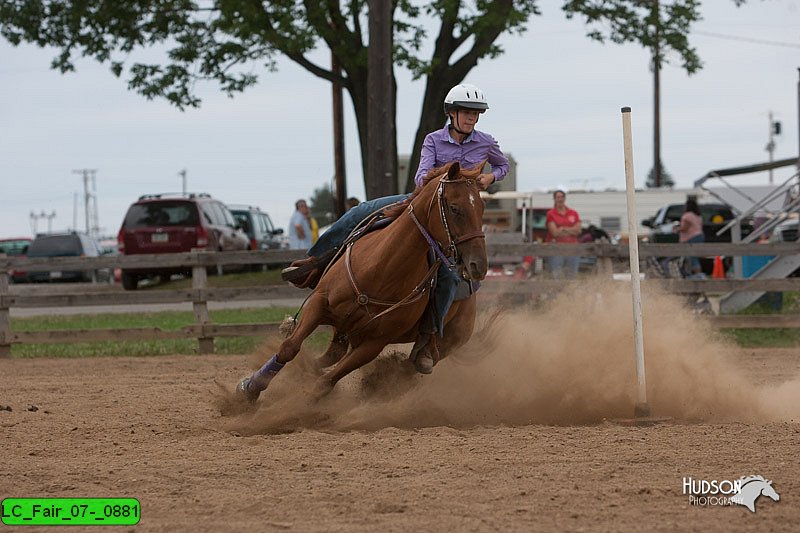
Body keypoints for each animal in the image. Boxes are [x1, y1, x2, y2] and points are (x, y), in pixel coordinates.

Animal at [234, 162, 488, 404]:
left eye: (482, 208)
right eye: (454, 208)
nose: (479, 265)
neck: (380, 271)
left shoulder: (374, 343)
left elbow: (326, 382)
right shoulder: (319, 304)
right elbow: (289, 348)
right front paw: (250, 389)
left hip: (447, 341)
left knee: (400, 370)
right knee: (330, 355)